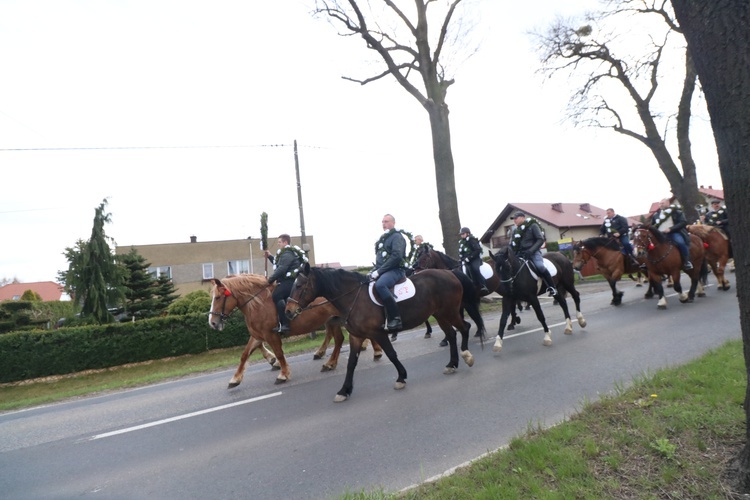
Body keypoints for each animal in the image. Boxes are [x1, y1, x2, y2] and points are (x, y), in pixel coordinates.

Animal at [209, 274, 370, 386]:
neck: (258, 303)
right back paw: (329, 363)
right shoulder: (257, 335)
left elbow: (279, 353)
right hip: (333, 321)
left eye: (218, 298)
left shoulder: (270, 335)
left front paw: (283, 374)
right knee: (338, 339)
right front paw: (235, 379)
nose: (212, 323)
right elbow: (244, 355)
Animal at [288, 266, 482, 402]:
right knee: (451, 335)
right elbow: (351, 363)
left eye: (299, 285)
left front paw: (401, 377)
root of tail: (450, 273)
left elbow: (391, 354)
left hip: (449, 312)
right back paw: (452, 364)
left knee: (464, 328)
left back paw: (467, 356)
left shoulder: (378, 333)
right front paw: (344, 390)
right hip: (440, 314)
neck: (354, 298)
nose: (288, 311)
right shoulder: (356, 336)